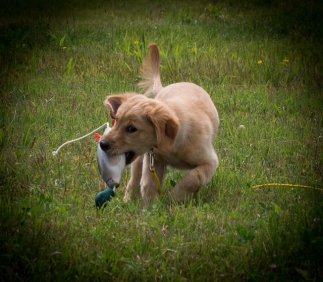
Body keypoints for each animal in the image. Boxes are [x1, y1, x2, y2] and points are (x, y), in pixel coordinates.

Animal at [101, 43, 220, 203]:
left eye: (132, 128)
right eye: (116, 122)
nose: (102, 144)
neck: (173, 143)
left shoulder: (210, 162)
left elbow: (194, 178)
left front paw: (174, 197)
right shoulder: (153, 160)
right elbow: (148, 184)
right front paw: (152, 206)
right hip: (140, 159)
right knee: (134, 180)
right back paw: (127, 201)